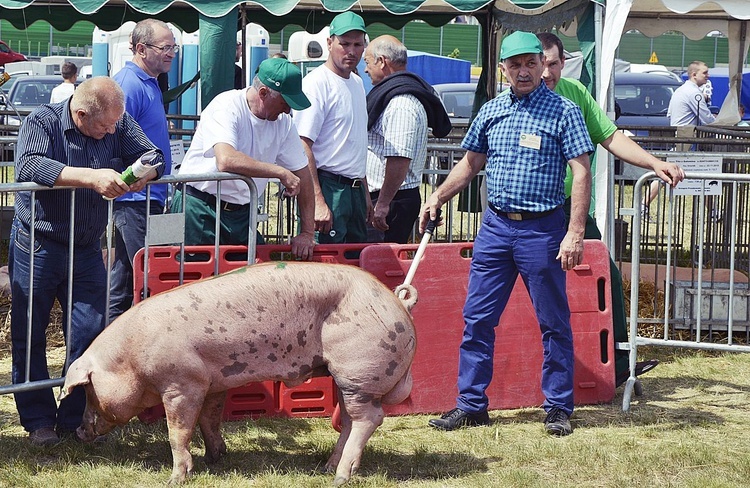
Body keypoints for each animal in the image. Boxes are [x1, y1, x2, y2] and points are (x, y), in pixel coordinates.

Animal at [59, 262, 420, 486]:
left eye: (88, 390)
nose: (78, 431)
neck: (132, 355)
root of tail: (398, 303)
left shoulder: (182, 384)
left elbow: (178, 432)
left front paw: (175, 478)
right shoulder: (213, 382)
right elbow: (210, 420)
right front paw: (215, 458)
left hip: (359, 371)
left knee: (369, 418)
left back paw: (340, 477)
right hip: (343, 375)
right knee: (347, 420)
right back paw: (327, 467)